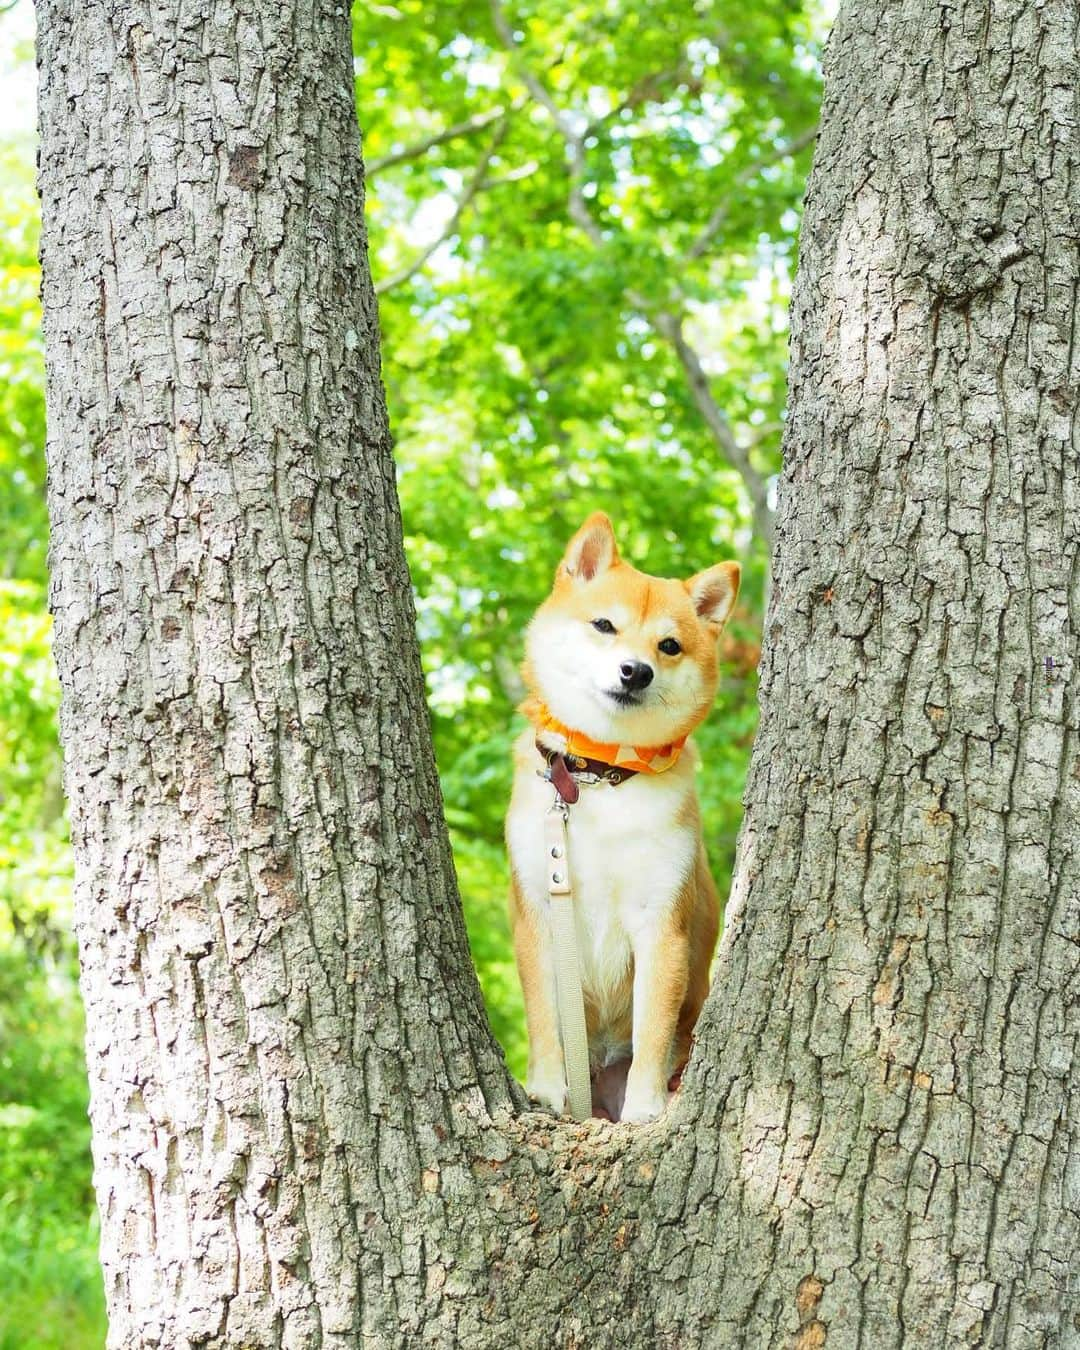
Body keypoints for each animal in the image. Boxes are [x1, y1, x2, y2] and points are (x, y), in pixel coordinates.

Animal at [507, 510, 745, 1123]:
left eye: (669, 645)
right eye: (604, 626)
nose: (635, 671)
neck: (600, 775)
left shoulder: (661, 922)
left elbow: (653, 1033)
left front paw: (644, 1108)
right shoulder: (539, 912)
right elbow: (544, 1021)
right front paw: (547, 1089)